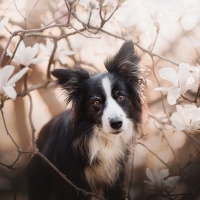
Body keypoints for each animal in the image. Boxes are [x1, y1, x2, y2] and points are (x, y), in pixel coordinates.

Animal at [26, 39, 147, 199]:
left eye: (121, 96)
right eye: (96, 102)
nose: (116, 123)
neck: (103, 140)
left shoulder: (116, 179)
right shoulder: (72, 183)